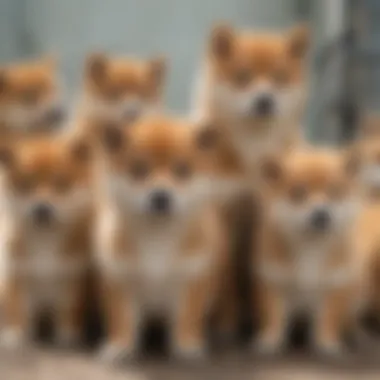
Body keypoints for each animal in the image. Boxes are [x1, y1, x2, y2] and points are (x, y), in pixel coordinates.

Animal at [0, 134, 94, 348]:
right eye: (25, 184)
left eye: (61, 183)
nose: (42, 208)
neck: (45, 240)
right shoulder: (19, 275)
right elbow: (17, 309)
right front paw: (16, 335)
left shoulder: (71, 278)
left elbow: (68, 310)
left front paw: (67, 336)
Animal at [94, 115, 235, 362]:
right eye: (139, 169)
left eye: (182, 169)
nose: (160, 196)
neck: (157, 237)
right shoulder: (120, 279)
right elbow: (121, 318)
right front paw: (120, 344)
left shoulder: (192, 280)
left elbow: (188, 316)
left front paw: (187, 344)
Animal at [255, 149, 362, 356]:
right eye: (298, 193)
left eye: (334, 192)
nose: (321, 214)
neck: (311, 247)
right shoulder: (274, 284)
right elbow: (273, 318)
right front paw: (269, 341)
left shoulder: (334, 288)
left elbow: (328, 320)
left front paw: (328, 344)